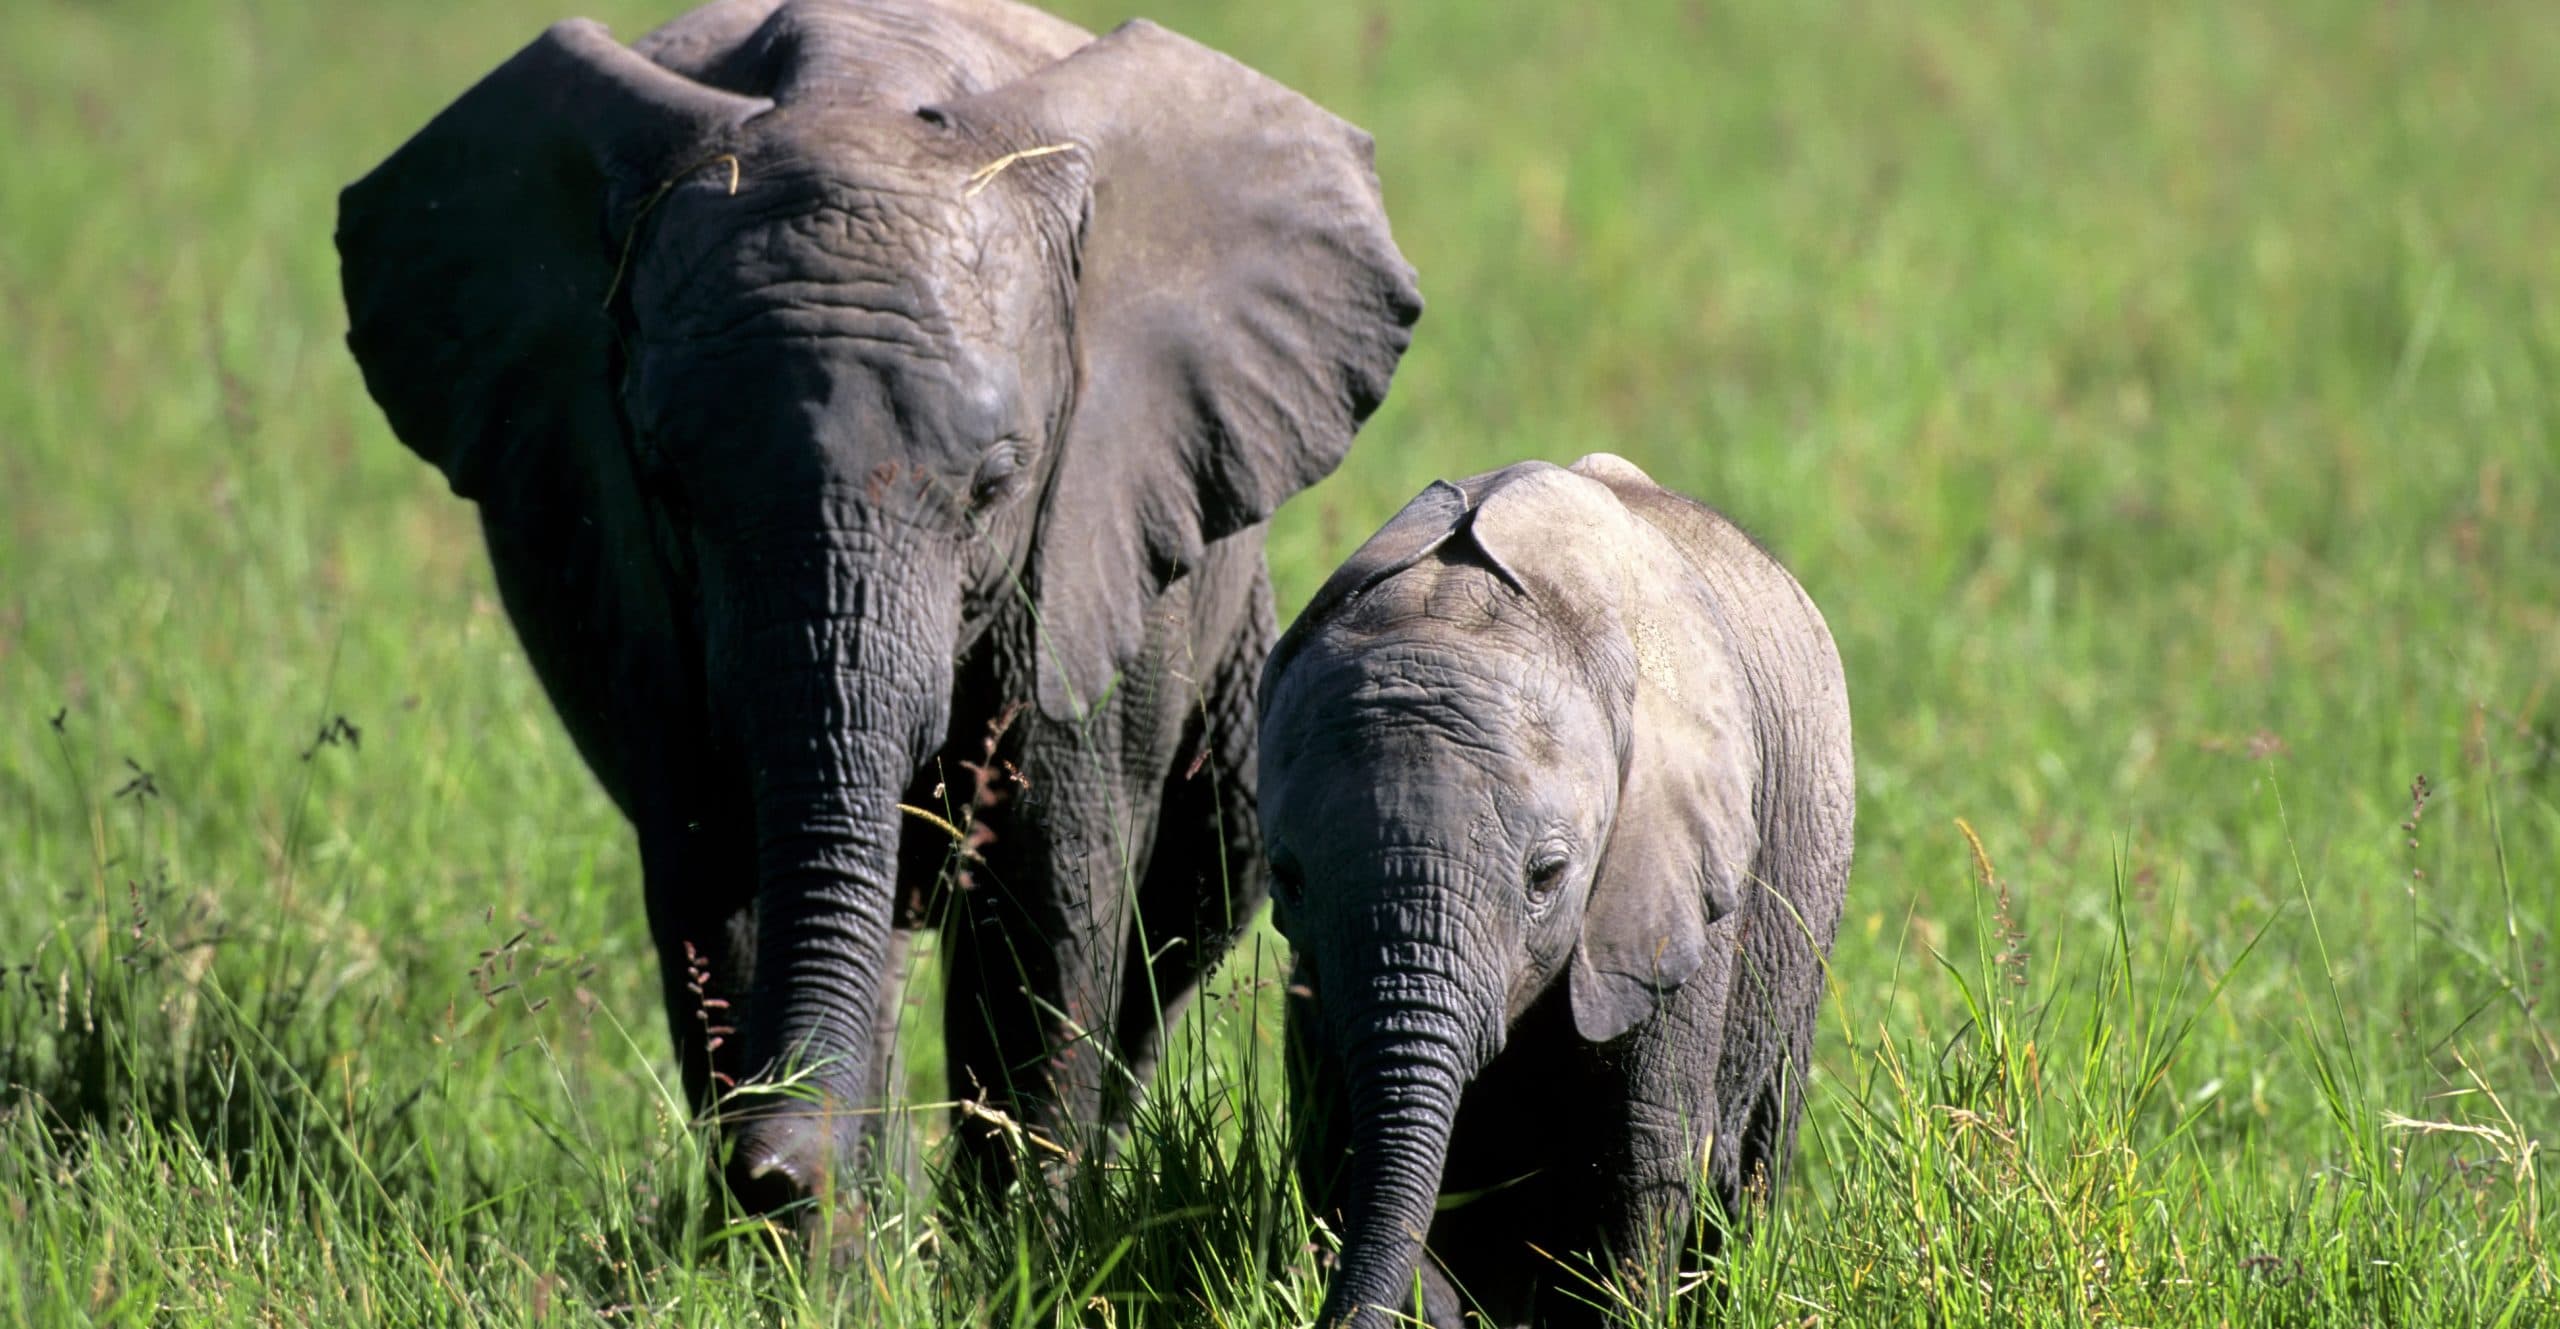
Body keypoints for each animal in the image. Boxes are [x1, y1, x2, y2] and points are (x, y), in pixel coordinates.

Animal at [335, 0, 1419, 1215]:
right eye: (666, 481)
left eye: (996, 486)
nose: (771, 1171)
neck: (861, 81)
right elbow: (720, 876)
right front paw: (809, 1236)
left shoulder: (1096, 530)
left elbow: (1046, 893)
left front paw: (1014, 1246)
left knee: (1201, 884)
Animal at [1258, 455, 1854, 1328]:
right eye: (1288, 880)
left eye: (1548, 876)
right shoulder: (1316, 975)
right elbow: (1344, 1149)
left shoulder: (1675, 879)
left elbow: (1643, 1151)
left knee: (1755, 1145)